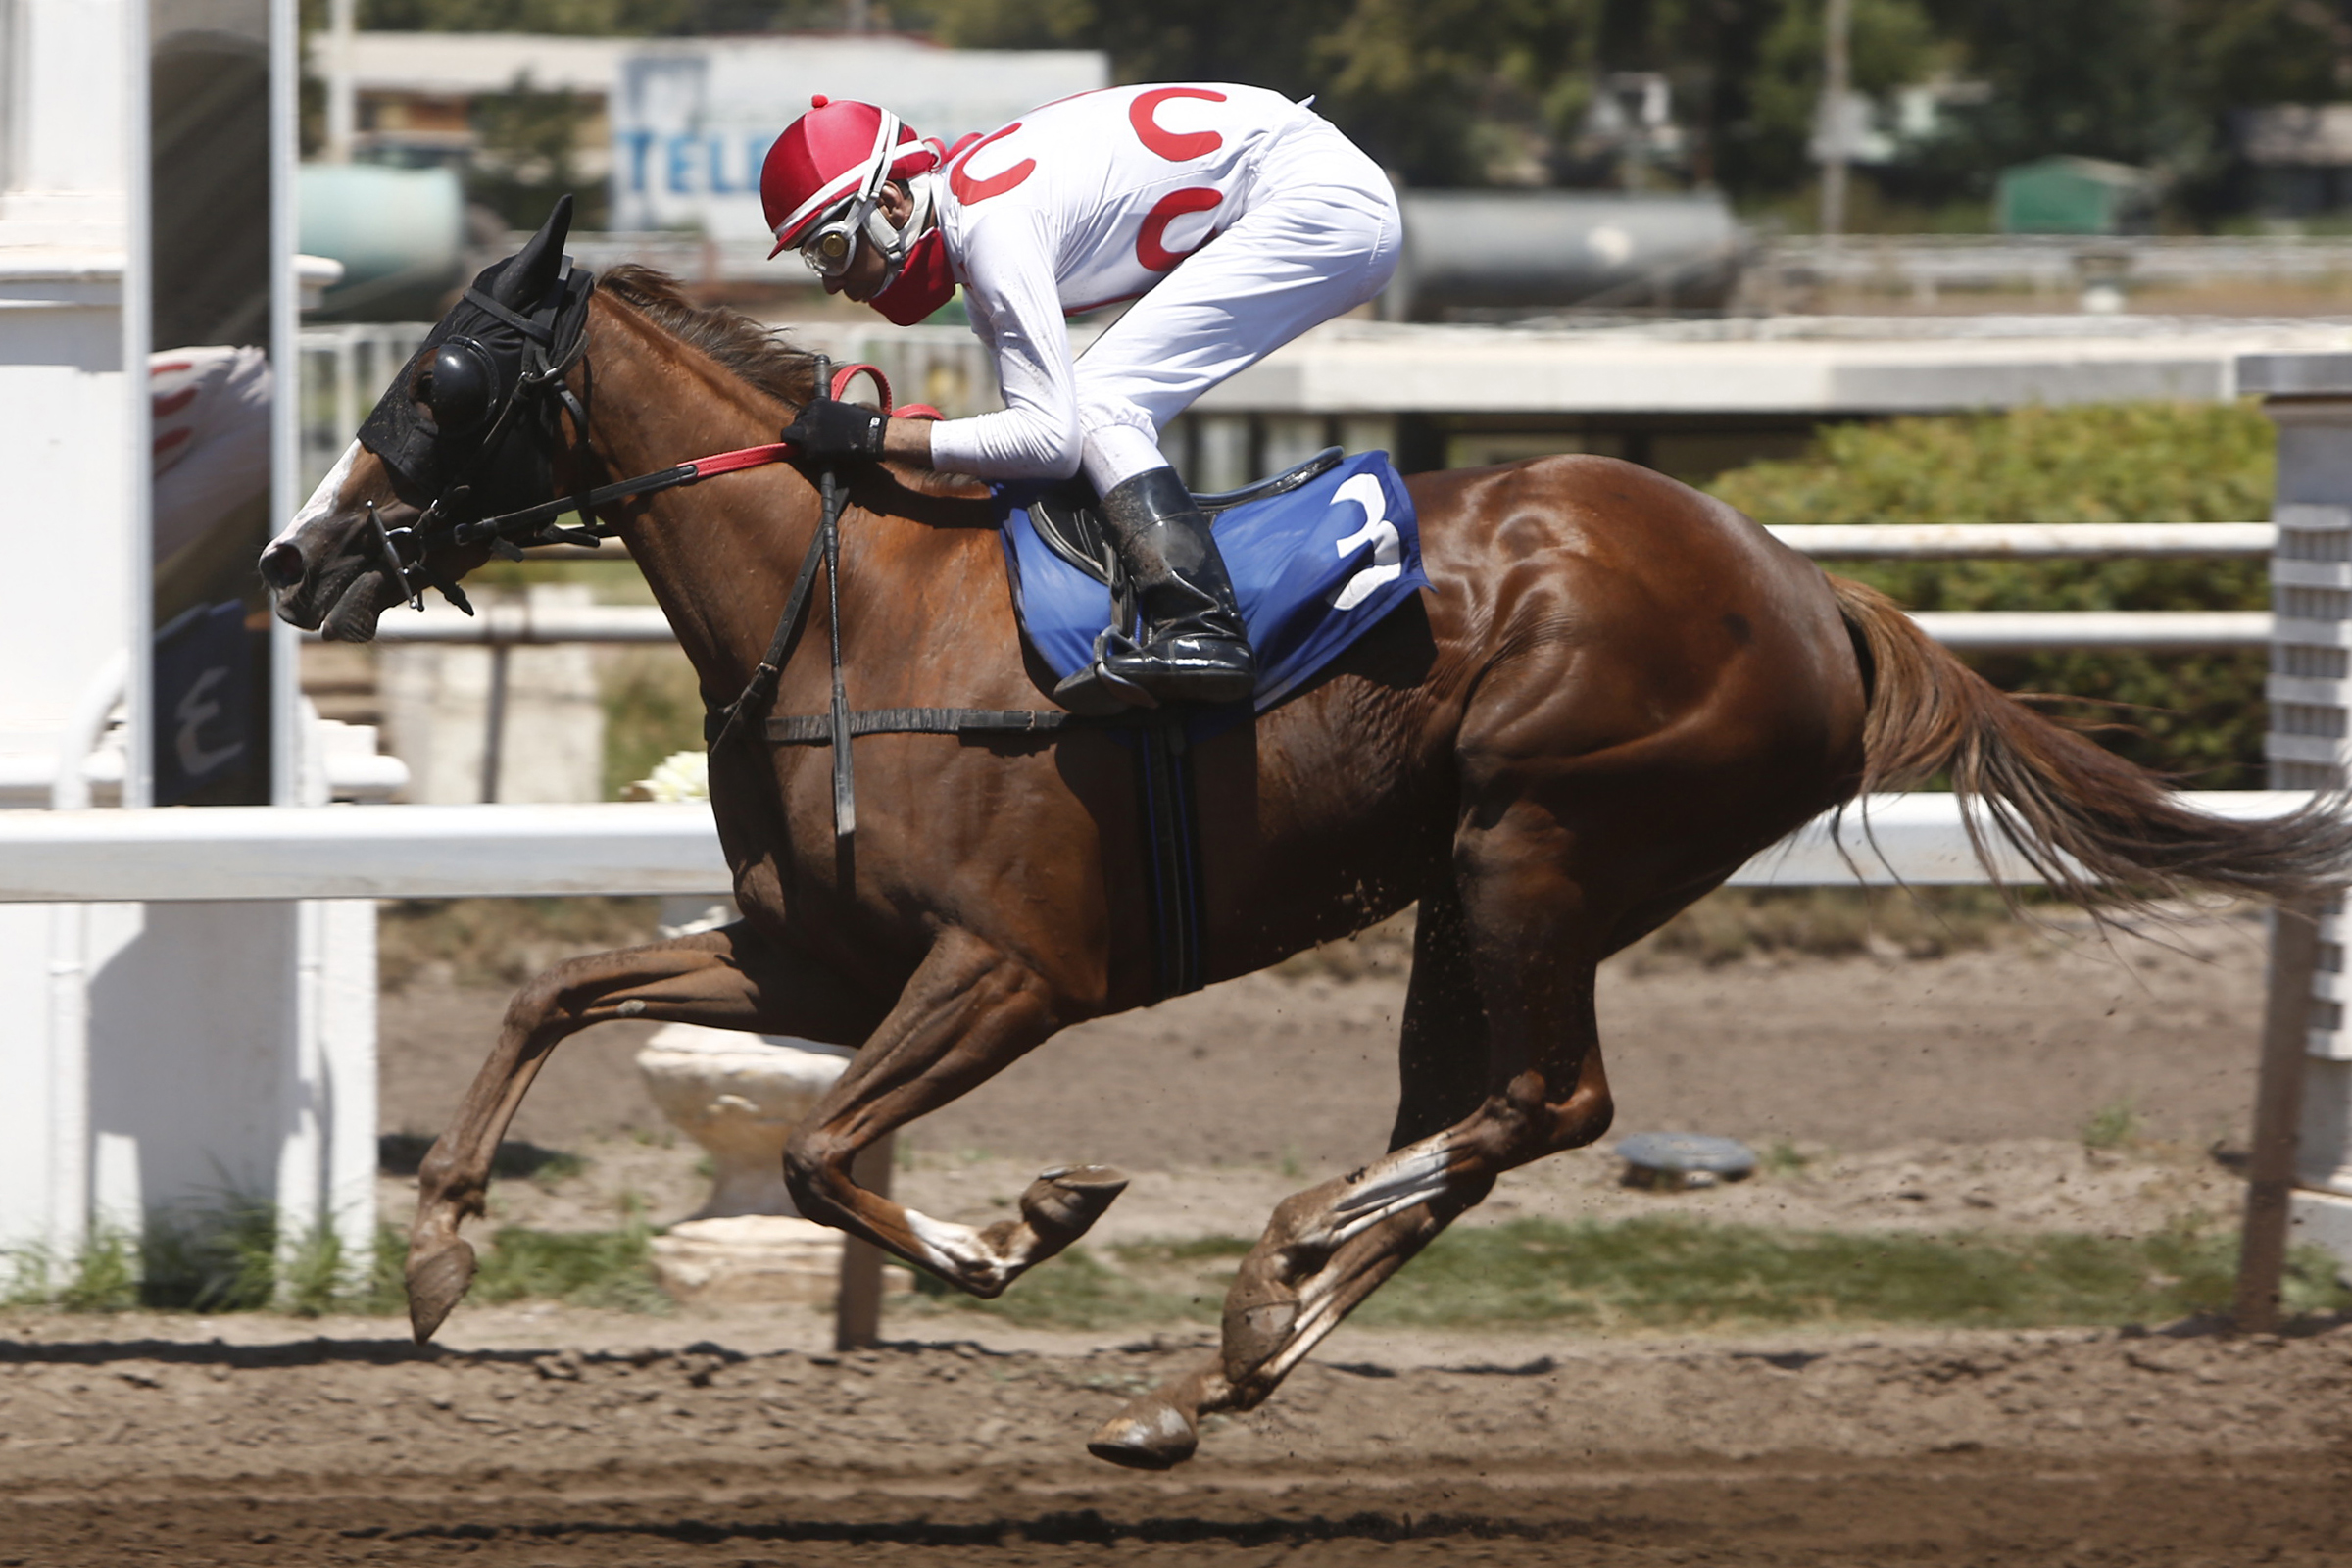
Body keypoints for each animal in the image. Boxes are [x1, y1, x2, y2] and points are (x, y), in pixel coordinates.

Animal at [260, 202, 2352, 1469]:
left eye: (440, 381)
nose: (292, 559)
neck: (855, 603)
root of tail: (1811, 590)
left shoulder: (1014, 969)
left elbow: (825, 1152)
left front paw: (1015, 1230)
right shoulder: (816, 953)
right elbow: (556, 992)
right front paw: (435, 1257)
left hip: (1538, 840)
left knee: (1547, 1105)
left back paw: (1266, 1275)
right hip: (1466, 887)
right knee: (1481, 1121)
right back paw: (1216, 1370)